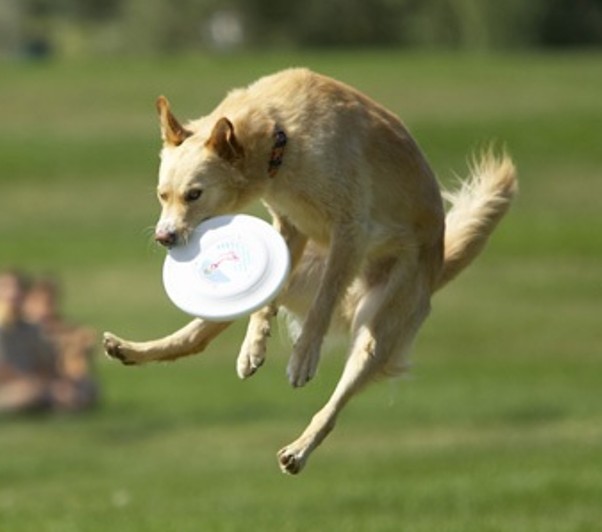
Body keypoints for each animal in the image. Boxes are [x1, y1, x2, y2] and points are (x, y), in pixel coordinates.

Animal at [104, 69, 516, 474]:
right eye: (162, 195)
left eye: (194, 195)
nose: (164, 238)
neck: (280, 137)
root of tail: (439, 261)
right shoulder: (290, 229)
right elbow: (264, 306)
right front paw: (253, 347)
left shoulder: (349, 231)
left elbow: (323, 304)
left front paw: (303, 356)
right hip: (296, 277)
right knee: (197, 337)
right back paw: (130, 350)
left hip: (376, 332)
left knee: (333, 405)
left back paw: (300, 449)